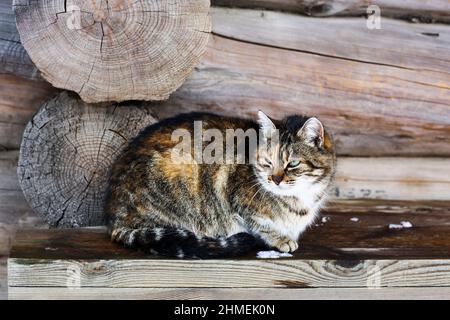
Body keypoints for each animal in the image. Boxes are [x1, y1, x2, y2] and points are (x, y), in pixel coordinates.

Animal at [105, 111, 336, 258]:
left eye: (293, 163)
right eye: (268, 162)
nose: (275, 179)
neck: (301, 199)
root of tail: (114, 219)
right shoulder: (237, 201)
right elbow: (260, 224)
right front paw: (281, 239)